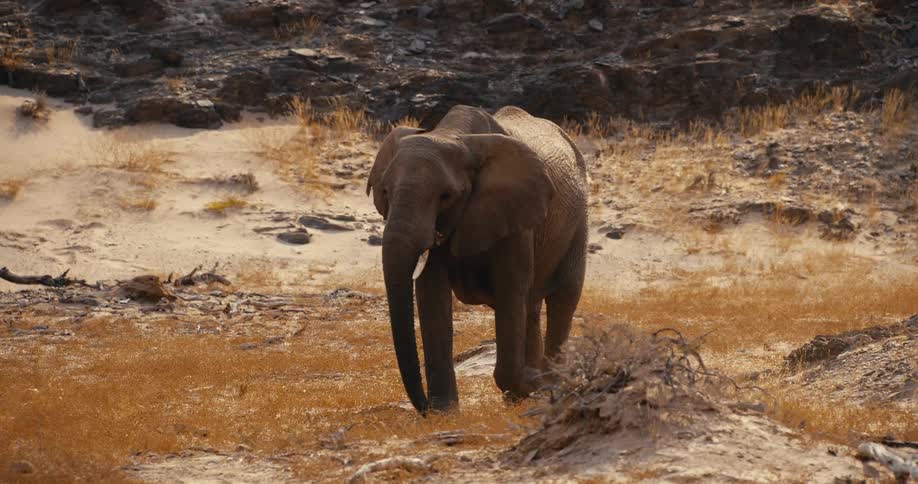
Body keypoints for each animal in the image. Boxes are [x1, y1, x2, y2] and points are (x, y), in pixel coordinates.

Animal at [366, 105, 589, 413]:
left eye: (446, 196)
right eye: (385, 191)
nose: (422, 406)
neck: (453, 134)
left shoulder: (516, 214)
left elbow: (510, 288)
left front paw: (525, 385)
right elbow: (431, 293)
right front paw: (444, 411)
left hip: (578, 220)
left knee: (562, 298)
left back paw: (548, 386)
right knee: (531, 306)